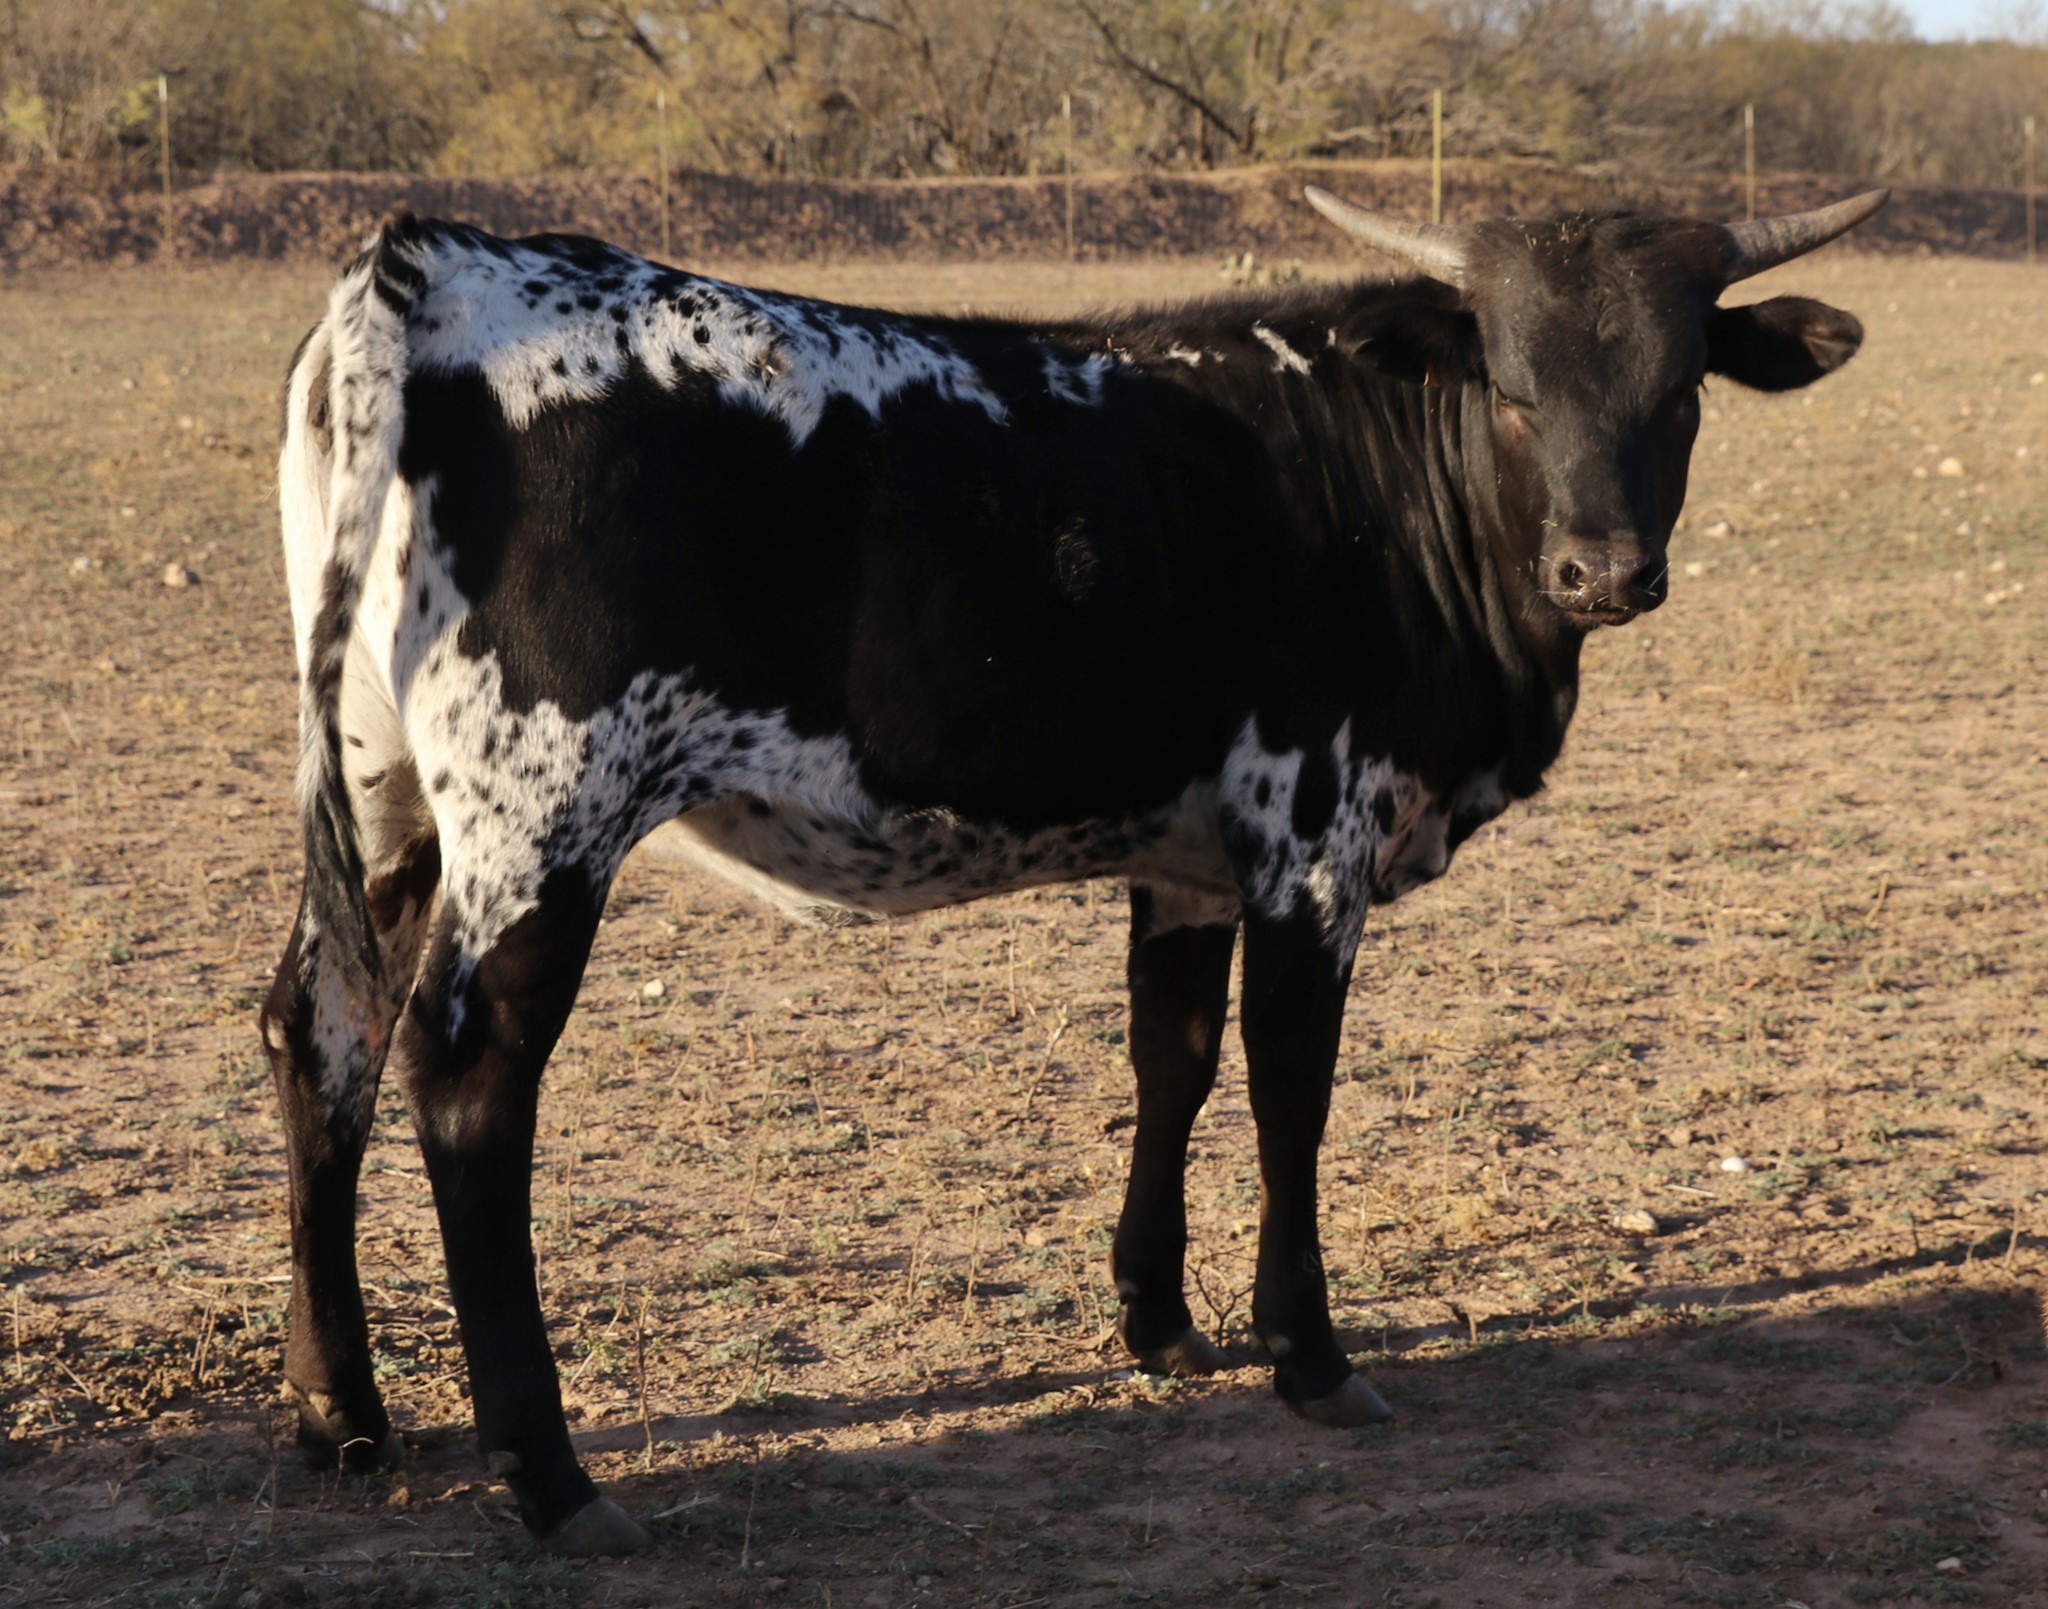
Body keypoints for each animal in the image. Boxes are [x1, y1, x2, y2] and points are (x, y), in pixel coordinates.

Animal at [260, 185, 1887, 1553]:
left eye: (1679, 390)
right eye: (1511, 383)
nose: (1601, 572)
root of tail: (428, 259)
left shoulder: (1192, 857)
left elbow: (1172, 1055)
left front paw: (1157, 1319)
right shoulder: (1315, 840)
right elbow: (1291, 1086)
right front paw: (1309, 1354)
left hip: (388, 798)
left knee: (319, 1032)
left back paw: (342, 1415)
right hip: (542, 815)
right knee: (468, 1084)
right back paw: (549, 1477)